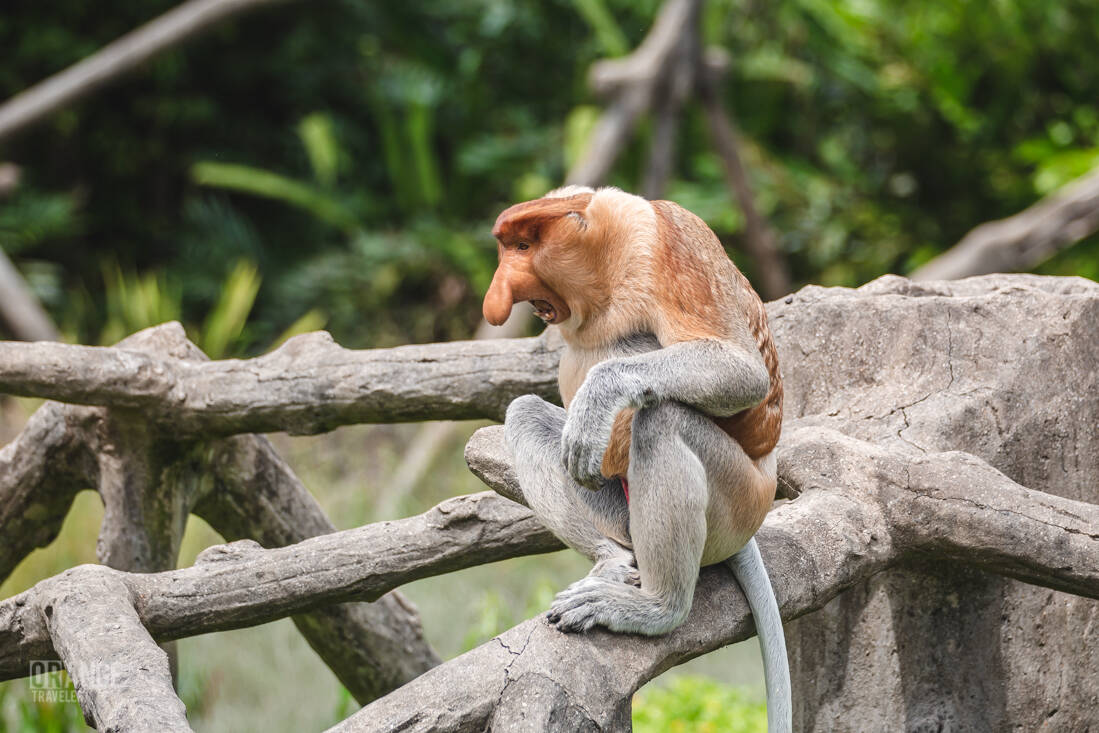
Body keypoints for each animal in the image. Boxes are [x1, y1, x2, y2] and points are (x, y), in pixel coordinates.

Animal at [483, 186, 791, 732]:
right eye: (507, 248)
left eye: (522, 246)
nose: (496, 300)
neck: (607, 272)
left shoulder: (670, 246)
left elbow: (744, 371)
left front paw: (598, 396)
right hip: (621, 508)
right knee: (524, 414)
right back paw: (613, 563)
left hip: (738, 503)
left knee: (661, 419)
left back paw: (657, 607)